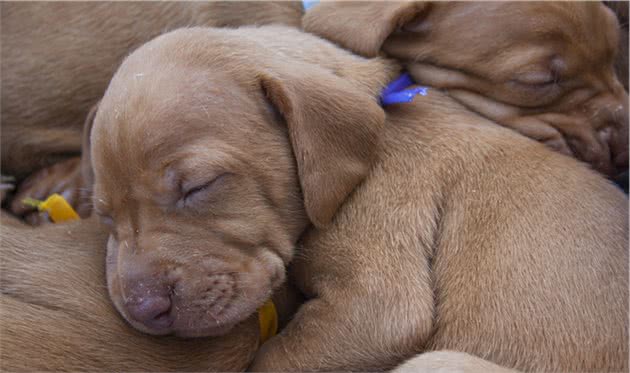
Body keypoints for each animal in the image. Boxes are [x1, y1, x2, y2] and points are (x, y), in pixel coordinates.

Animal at [86, 24, 628, 370]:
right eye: (105, 215)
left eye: (199, 186)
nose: (143, 309)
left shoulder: (377, 305)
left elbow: (275, 360)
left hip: (439, 362)